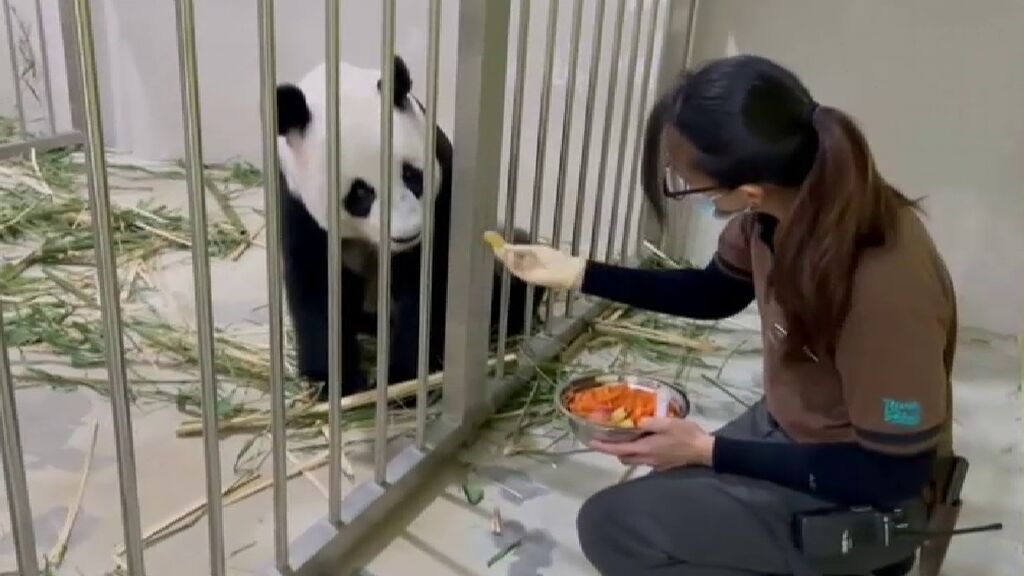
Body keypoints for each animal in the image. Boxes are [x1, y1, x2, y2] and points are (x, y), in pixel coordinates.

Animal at [272, 56, 544, 397]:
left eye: (412, 175)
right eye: (360, 193)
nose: (407, 232)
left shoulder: (442, 181)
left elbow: (429, 280)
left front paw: (404, 379)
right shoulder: (296, 201)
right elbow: (316, 283)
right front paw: (338, 383)